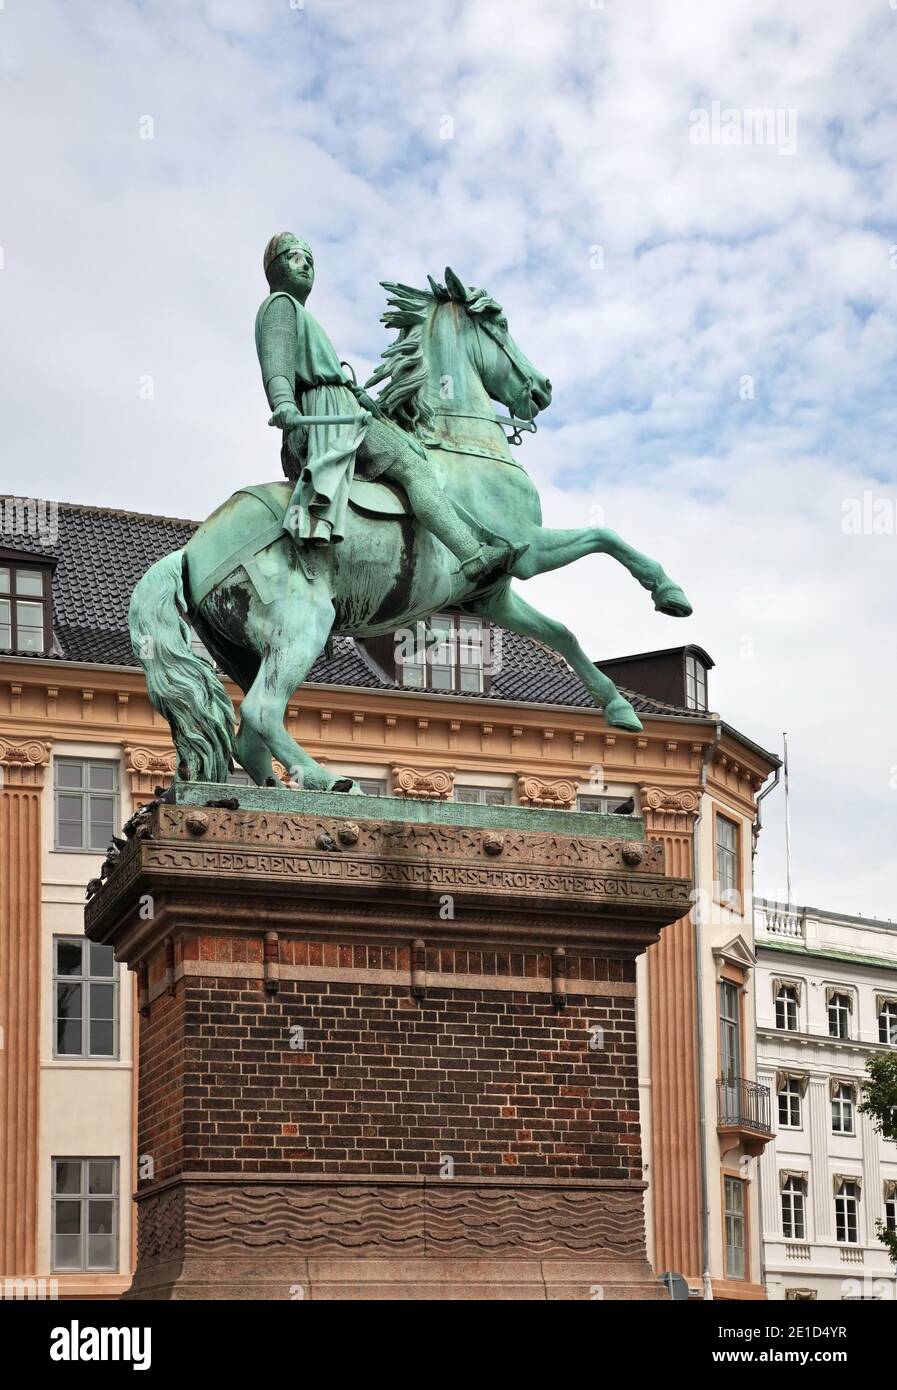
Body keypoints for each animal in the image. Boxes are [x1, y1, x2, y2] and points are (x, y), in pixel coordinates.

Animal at [129, 268, 689, 795]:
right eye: (501, 321)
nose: (543, 388)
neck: (462, 445)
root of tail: (190, 554)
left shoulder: (493, 596)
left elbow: (563, 633)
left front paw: (619, 708)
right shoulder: (529, 550)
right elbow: (605, 536)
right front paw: (669, 592)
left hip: (247, 652)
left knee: (249, 733)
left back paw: (270, 791)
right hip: (301, 626)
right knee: (262, 710)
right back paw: (327, 781)